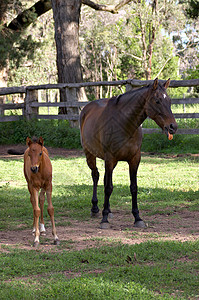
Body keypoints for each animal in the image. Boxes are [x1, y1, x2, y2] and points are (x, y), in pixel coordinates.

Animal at [80, 78, 178, 229]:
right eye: (157, 101)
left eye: (170, 101)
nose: (173, 126)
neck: (124, 124)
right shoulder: (110, 158)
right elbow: (108, 188)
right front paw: (104, 220)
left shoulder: (134, 159)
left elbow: (133, 187)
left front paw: (137, 217)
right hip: (90, 154)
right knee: (95, 176)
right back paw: (95, 209)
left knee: (104, 178)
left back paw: (108, 210)